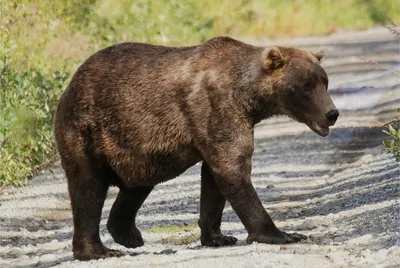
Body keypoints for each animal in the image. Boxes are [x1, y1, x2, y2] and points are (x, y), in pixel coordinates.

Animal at [54, 36, 340, 260]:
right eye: (306, 85)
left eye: (324, 82)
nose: (332, 113)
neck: (248, 96)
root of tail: (71, 83)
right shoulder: (218, 107)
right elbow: (233, 167)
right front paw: (281, 233)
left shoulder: (217, 125)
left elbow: (214, 179)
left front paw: (218, 236)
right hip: (88, 129)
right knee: (87, 188)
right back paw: (97, 250)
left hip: (137, 151)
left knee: (137, 186)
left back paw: (128, 234)